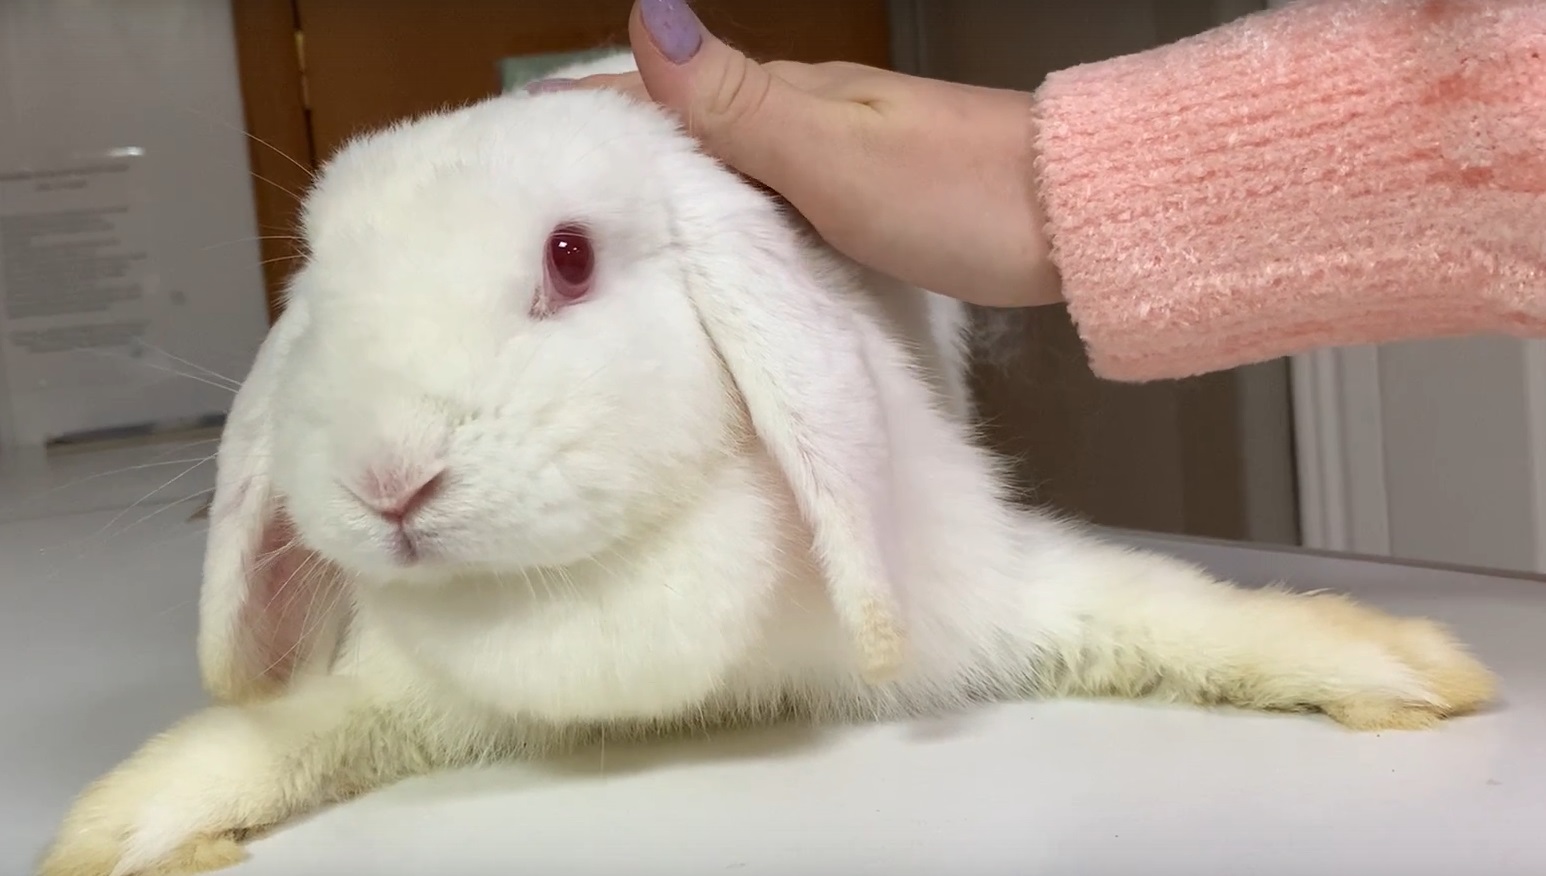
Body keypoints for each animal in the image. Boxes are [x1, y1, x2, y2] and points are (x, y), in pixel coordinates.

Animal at [37, 50, 1496, 876]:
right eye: (319, 289)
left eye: (570, 257)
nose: (387, 484)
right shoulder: (406, 697)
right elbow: (280, 736)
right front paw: (117, 830)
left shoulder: (996, 595)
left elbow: (1176, 615)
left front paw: (1401, 672)